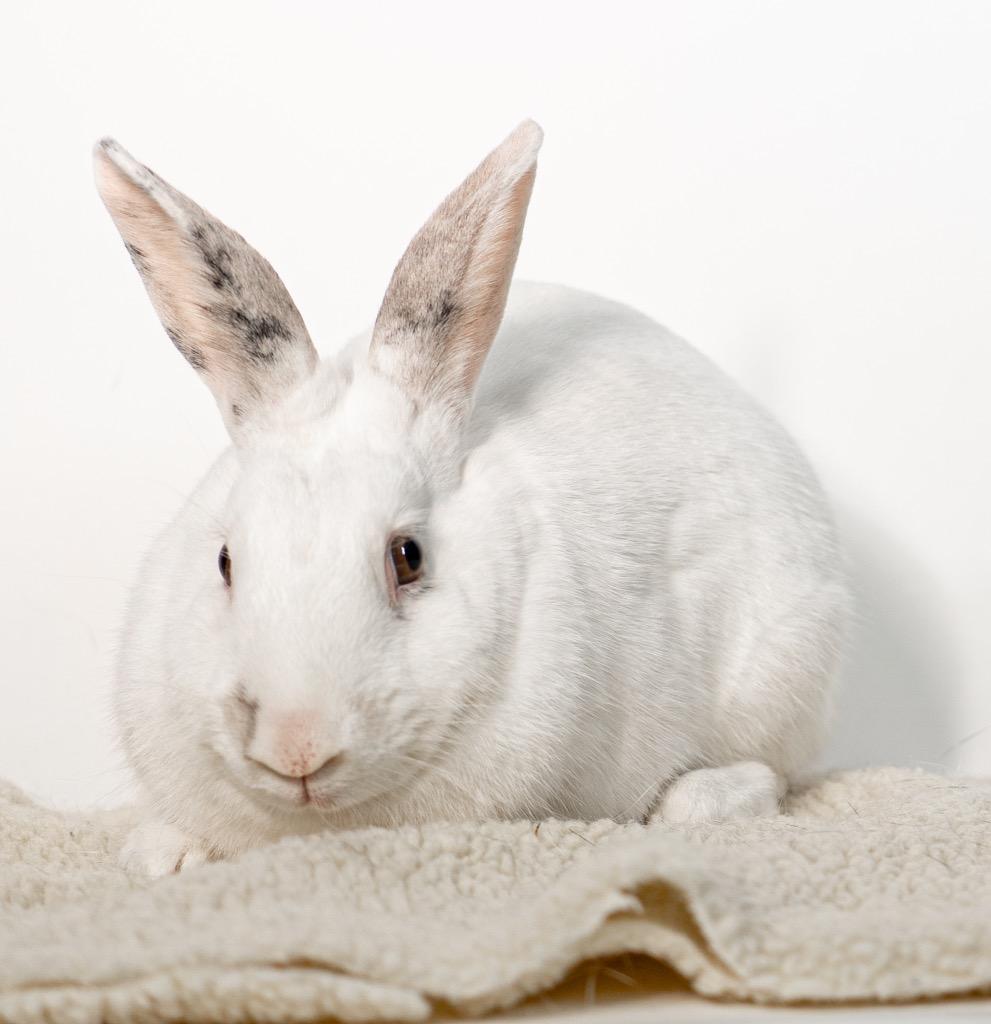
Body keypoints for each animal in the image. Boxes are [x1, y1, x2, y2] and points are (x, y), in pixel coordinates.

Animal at [94, 121, 849, 876]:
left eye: (408, 557)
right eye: (224, 562)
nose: (296, 745)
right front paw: (159, 856)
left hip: (782, 667)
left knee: (773, 773)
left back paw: (694, 802)